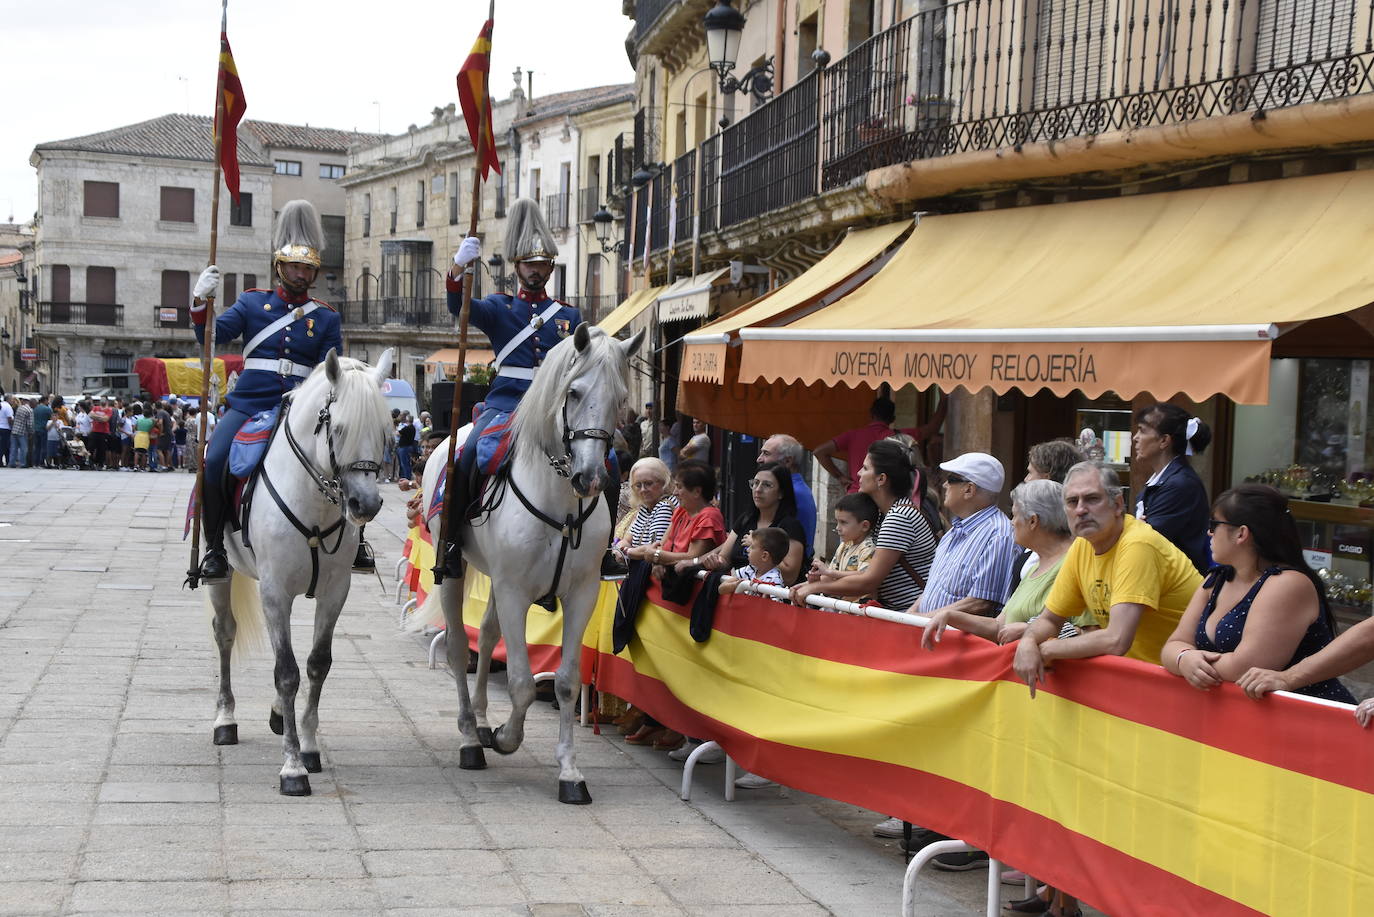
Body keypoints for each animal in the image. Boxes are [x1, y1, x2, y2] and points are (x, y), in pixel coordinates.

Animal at [208, 349, 395, 797]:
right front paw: (292, 767)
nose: (365, 504)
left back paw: (279, 715)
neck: (316, 504)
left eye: (385, 431)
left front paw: (308, 746)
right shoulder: (275, 592)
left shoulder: (334, 592)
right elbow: (287, 672)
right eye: (339, 428)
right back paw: (225, 719)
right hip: (224, 577)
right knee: (225, 632)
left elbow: (316, 664)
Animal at [417, 323, 643, 802]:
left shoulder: (580, 595)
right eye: (573, 392)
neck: (560, 502)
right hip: (458, 573)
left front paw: (570, 772)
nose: (591, 478)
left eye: (620, 398)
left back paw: (483, 718)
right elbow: (521, 683)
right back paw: (471, 737)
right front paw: (506, 737)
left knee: (485, 636)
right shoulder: (514, 591)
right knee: (459, 647)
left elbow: (566, 681)